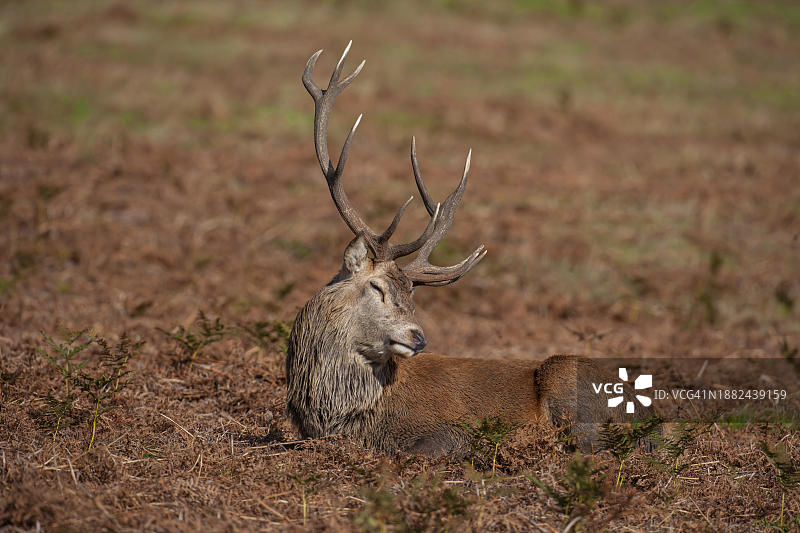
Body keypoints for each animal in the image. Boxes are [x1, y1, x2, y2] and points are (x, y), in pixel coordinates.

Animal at [285, 42, 655, 456]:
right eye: (377, 287)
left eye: (412, 295)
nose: (418, 337)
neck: (349, 417)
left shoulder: (449, 433)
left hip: (566, 376)